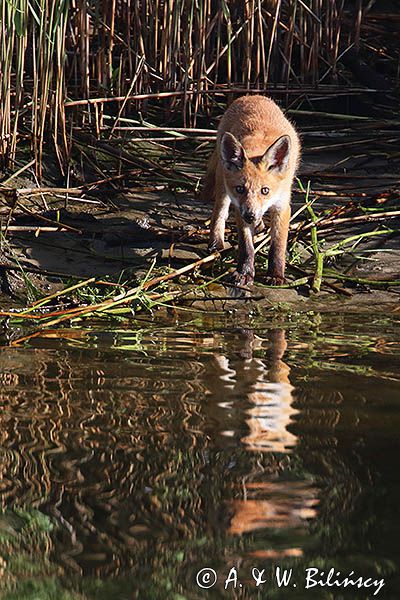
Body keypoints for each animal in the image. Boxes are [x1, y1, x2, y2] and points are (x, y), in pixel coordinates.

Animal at [203, 95, 300, 288]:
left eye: (265, 190)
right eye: (240, 189)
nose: (250, 215)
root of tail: (251, 96)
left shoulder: (282, 206)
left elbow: (278, 246)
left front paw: (276, 275)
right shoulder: (239, 207)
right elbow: (246, 247)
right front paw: (245, 272)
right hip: (223, 185)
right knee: (219, 212)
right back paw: (216, 243)